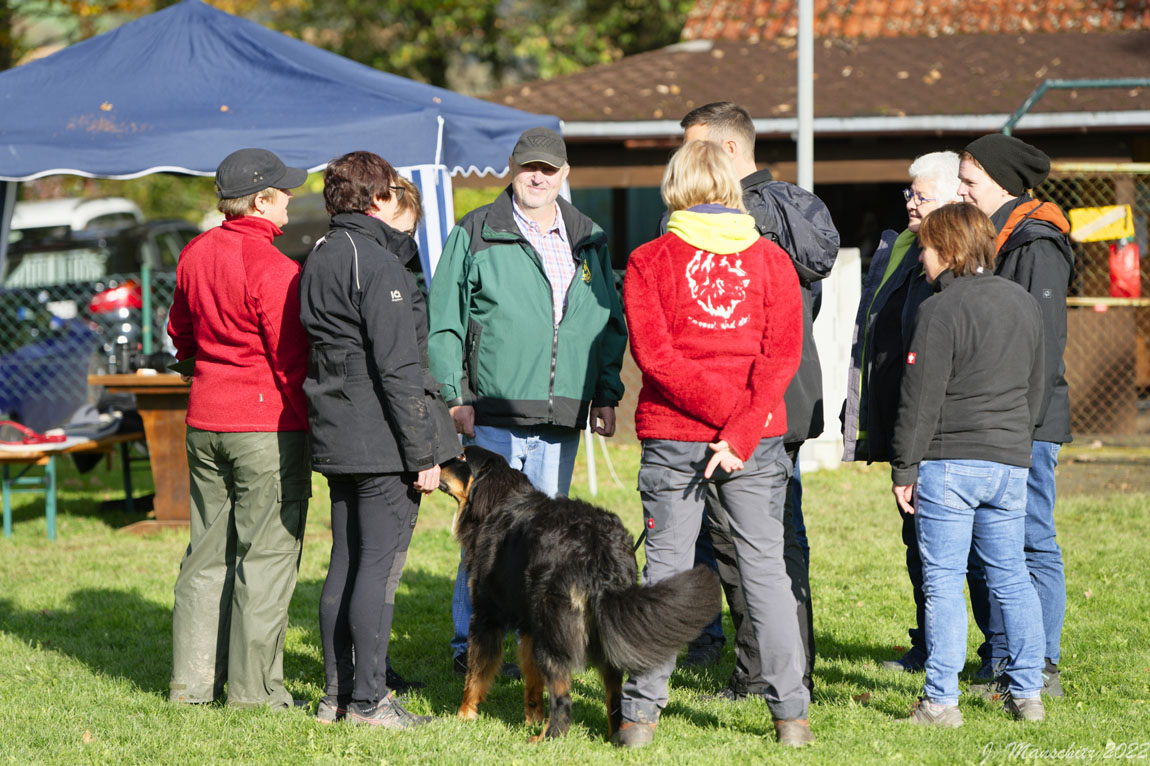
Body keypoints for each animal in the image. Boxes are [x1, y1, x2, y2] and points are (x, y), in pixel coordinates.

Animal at [437, 441, 717, 740]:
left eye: (462, 457)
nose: (434, 464)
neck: (498, 503)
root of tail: (598, 547)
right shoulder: (529, 625)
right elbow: (532, 678)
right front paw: (533, 717)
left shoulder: (486, 615)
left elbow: (475, 675)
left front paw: (464, 715)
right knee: (614, 696)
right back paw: (613, 736)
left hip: (553, 630)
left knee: (563, 698)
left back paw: (546, 738)